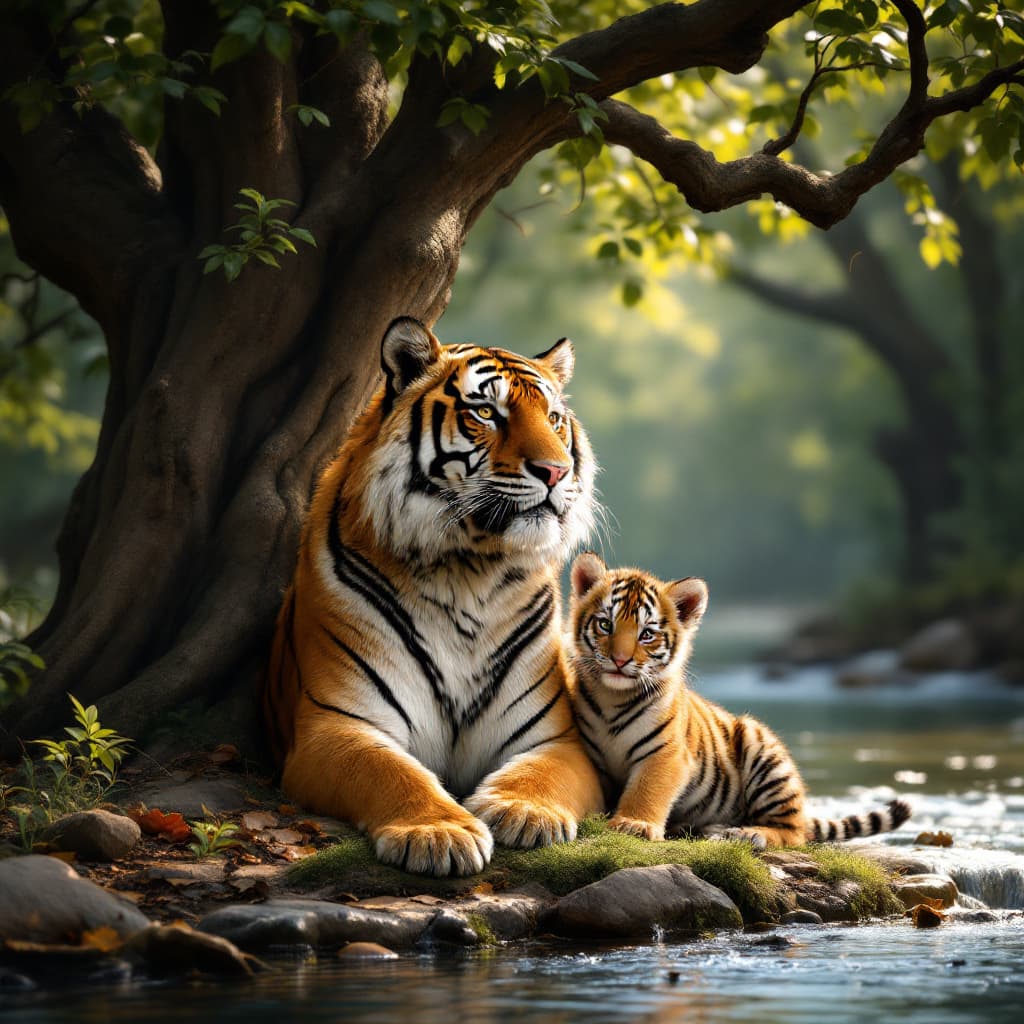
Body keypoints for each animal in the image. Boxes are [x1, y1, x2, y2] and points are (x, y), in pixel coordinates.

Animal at [263, 317, 603, 877]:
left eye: (554, 418)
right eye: (486, 412)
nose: (555, 472)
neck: (469, 571)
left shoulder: (556, 738)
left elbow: (541, 773)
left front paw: (523, 810)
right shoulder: (337, 726)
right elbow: (388, 771)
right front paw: (439, 832)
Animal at [566, 552, 911, 849]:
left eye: (646, 635)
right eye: (606, 625)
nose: (620, 661)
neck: (612, 696)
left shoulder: (666, 753)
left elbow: (647, 789)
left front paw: (633, 824)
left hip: (763, 752)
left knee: (792, 832)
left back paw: (747, 834)